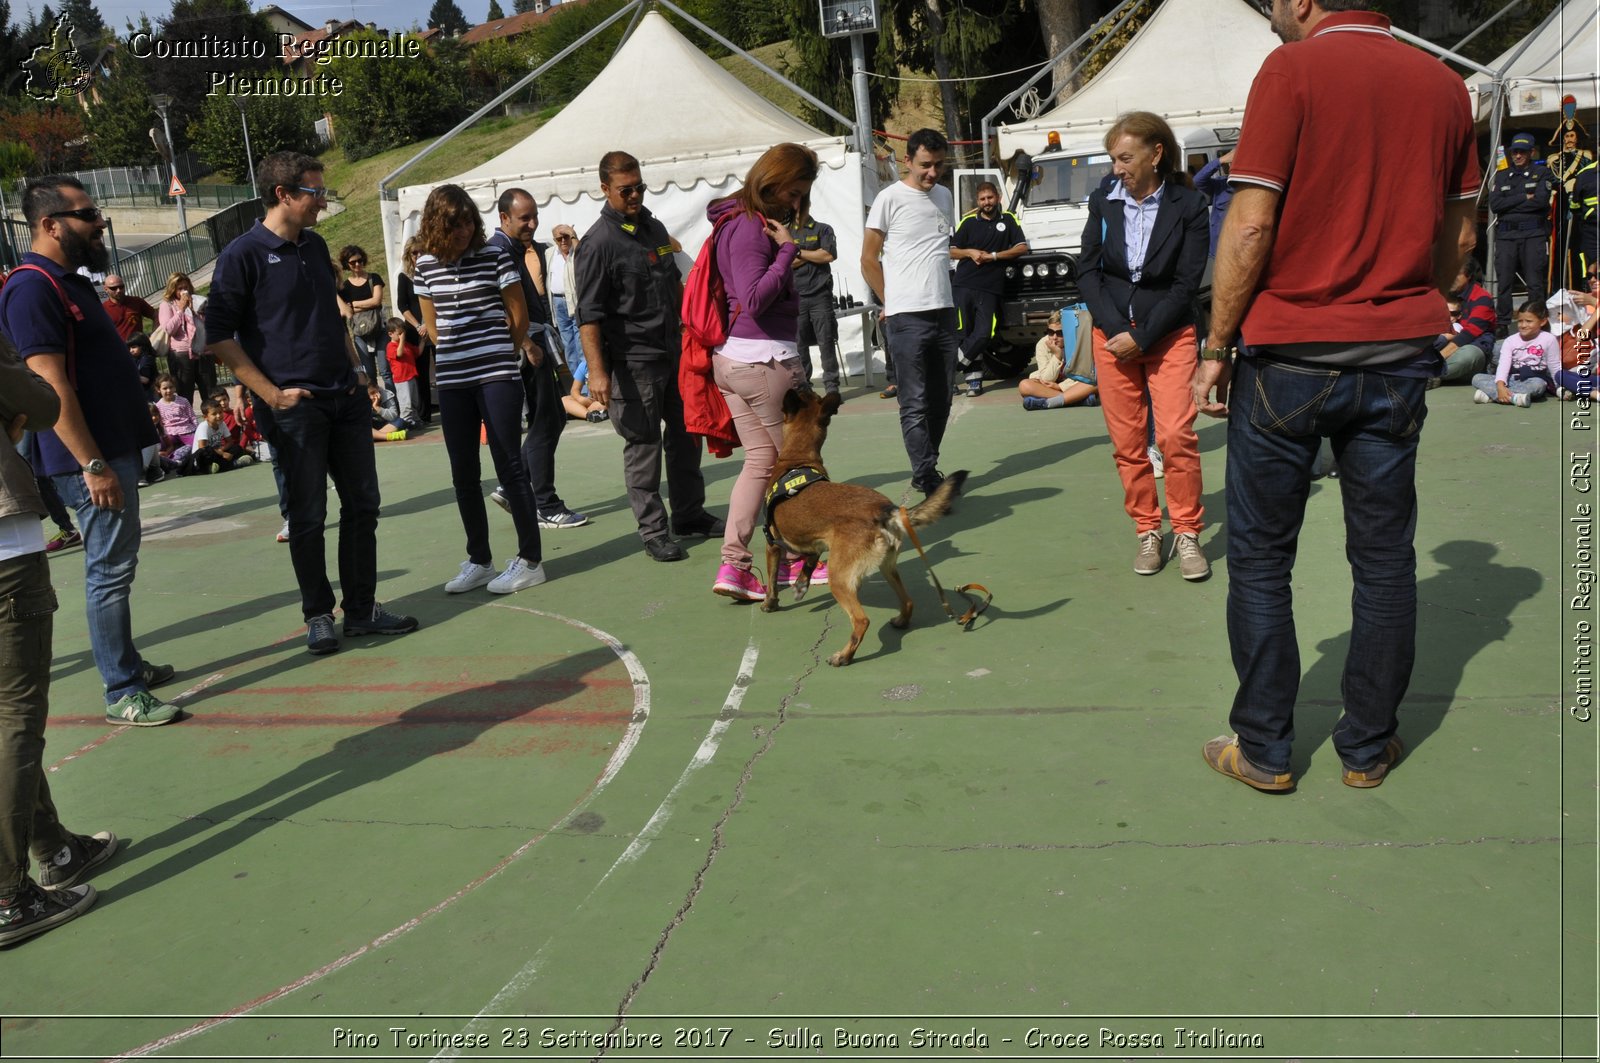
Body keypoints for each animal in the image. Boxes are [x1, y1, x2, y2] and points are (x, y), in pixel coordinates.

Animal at [758, 390, 960, 669]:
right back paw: (901, 621)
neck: (797, 458)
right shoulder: (818, 543)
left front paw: (770, 602)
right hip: (887, 567)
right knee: (908, 601)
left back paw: (844, 656)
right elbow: (809, 561)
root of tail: (885, 510)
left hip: (840, 580)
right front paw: (800, 586)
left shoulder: (772, 545)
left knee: (861, 621)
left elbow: (772, 580)